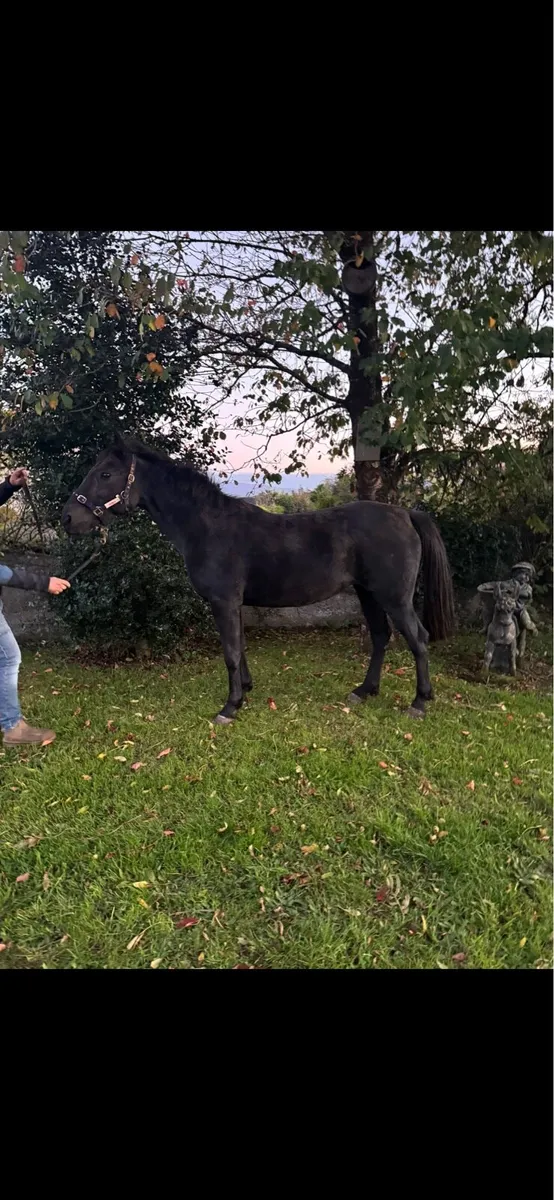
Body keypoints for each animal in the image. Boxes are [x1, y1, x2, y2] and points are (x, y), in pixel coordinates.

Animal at [61, 437, 455, 724]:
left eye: (105, 475)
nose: (68, 518)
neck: (207, 526)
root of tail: (405, 513)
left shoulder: (223, 602)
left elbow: (231, 652)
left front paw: (229, 707)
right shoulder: (234, 604)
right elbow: (241, 648)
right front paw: (246, 691)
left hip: (394, 597)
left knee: (418, 639)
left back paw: (419, 702)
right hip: (368, 594)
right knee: (380, 636)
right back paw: (364, 690)